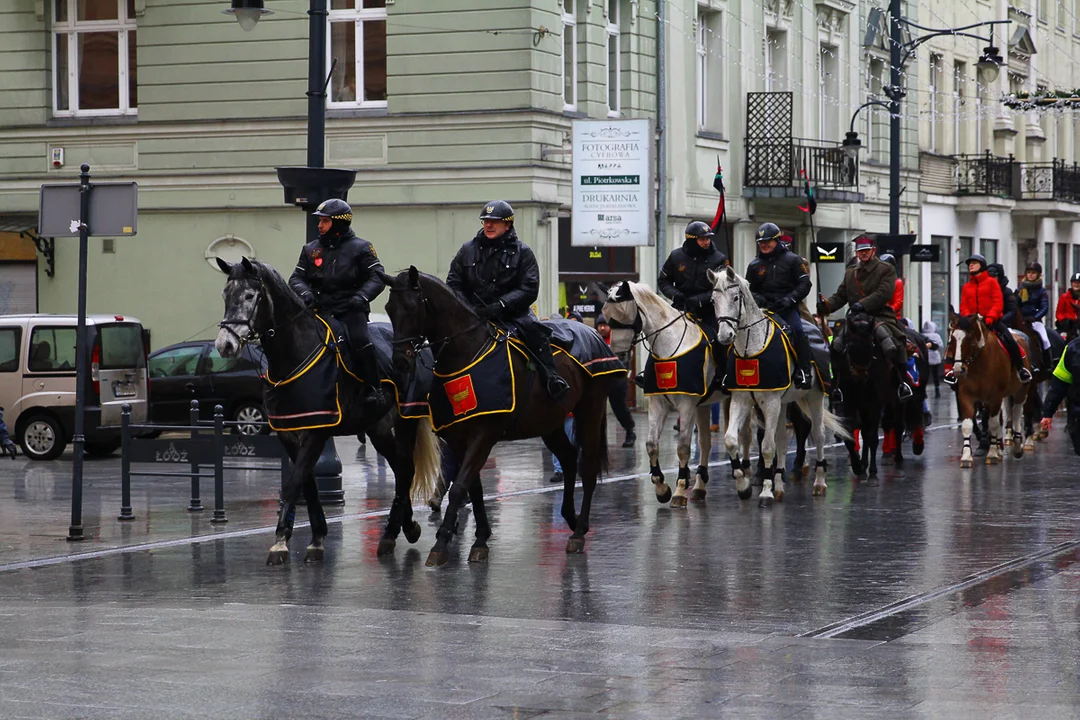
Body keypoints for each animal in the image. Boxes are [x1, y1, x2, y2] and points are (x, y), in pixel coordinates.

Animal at [216, 255, 442, 565]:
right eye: (225, 295)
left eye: (250, 296)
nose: (224, 345)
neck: (293, 355)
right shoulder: (289, 433)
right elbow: (308, 485)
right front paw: (316, 538)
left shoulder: (316, 431)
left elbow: (294, 483)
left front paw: (280, 543)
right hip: (378, 427)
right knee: (399, 468)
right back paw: (404, 527)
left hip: (407, 419)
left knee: (406, 468)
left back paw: (391, 533)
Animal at [380, 267, 617, 565]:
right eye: (389, 308)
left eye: (413, 307)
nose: (400, 361)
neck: (467, 353)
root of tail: (592, 332)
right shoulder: (458, 439)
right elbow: (474, 487)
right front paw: (480, 539)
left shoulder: (484, 434)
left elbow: (459, 486)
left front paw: (441, 543)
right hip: (549, 424)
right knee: (568, 459)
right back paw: (571, 518)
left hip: (590, 410)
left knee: (587, 467)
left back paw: (579, 532)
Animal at [600, 280, 725, 507]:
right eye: (607, 316)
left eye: (624, 315)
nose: (619, 355)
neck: (671, 347)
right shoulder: (658, 403)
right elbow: (651, 445)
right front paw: (661, 488)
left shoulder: (687, 405)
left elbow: (683, 447)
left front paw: (680, 489)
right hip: (704, 406)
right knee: (706, 442)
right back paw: (700, 487)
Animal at [708, 264, 851, 507]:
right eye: (713, 300)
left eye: (736, 297)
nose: (725, 336)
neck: (752, 347)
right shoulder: (742, 399)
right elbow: (731, 440)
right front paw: (744, 487)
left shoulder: (771, 402)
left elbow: (767, 447)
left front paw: (765, 493)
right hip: (785, 403)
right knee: (783, 440)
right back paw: (780, 487)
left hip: (813, 397)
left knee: (819, 435)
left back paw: (819, 483)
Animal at [950, 313, 1032, 470]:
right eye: (952, 339)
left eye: (969, 338)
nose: (958, 370)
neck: (979, 362)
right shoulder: (966, 396)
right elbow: (968, 425)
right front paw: (966, 456)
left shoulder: (995, 396)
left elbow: (993, 423)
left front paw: (992, 454)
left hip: (1021, 390)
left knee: (1017, 411)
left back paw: (1017, 445)